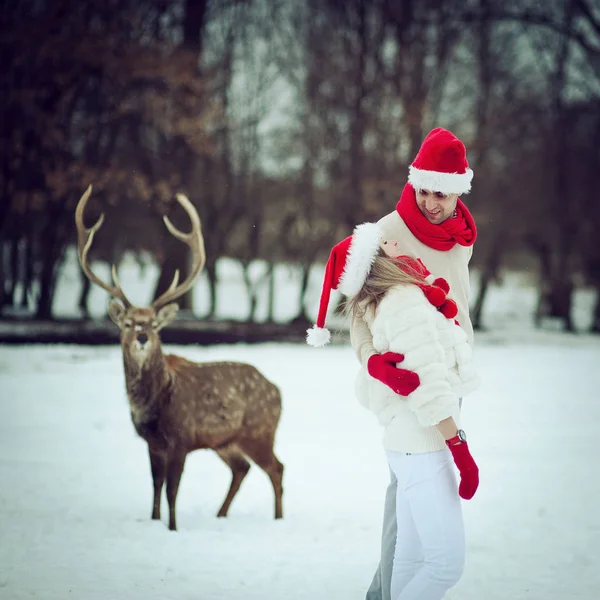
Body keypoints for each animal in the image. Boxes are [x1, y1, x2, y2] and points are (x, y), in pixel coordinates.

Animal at [74, 185, 284, 532]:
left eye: (153, 324)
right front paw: (154, 520)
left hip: (259, 432)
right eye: (128, 323)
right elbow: (155, 486)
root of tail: (277, 390)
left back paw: (278, 518)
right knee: (241, 469)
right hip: (225, 441)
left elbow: (172, 488)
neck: (154, 404)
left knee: (276, 468)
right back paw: (220, 514)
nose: (142, 337)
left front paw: (172, 527)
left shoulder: (181, 439)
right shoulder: (152, 443)